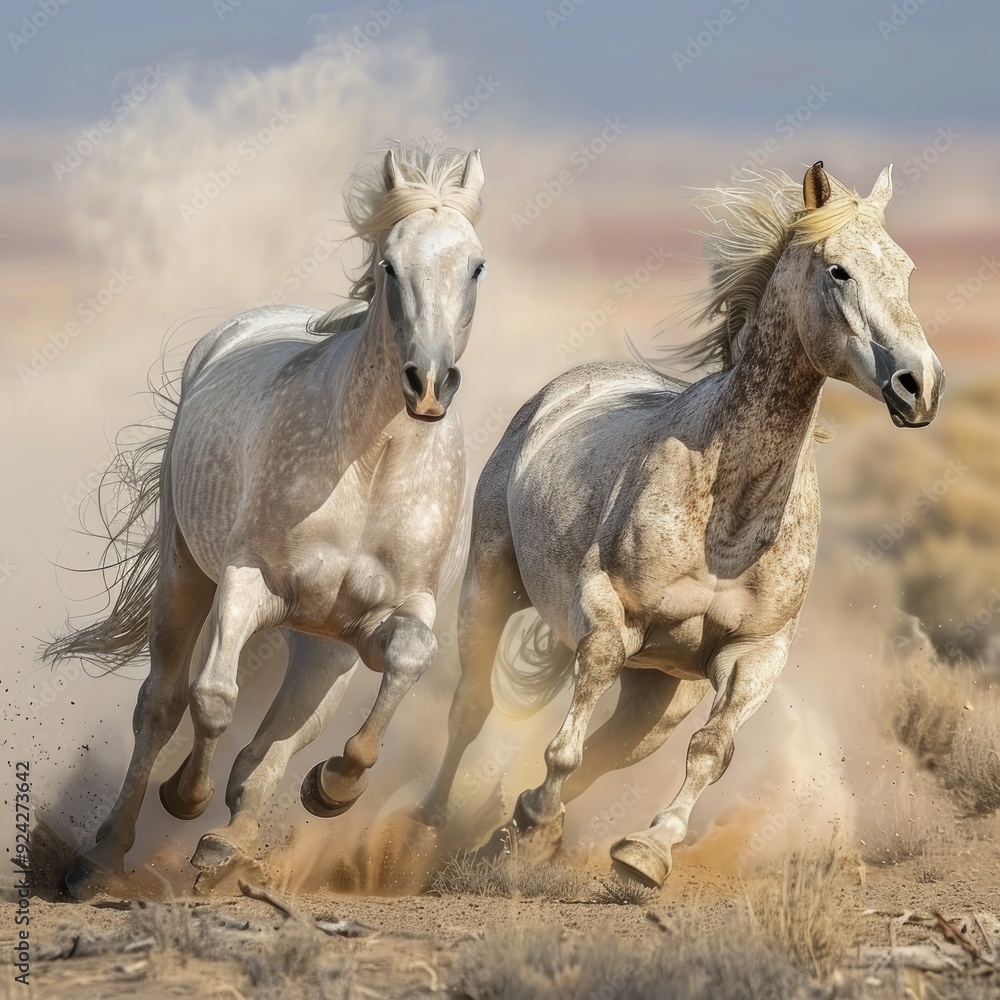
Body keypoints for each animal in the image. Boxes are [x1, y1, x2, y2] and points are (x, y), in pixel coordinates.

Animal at [45, 141, 487, 899]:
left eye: (476, 265)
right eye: (389, 265)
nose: (428, 384)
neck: (372, 463)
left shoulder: (389, 616)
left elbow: (403, 660)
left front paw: (332, 787)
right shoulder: (246, 580)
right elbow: (213, 697)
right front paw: (186, 796)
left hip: (321, 646)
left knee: (282, 733)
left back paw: (233, 841)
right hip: (185, 576)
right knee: (161, 704)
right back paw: (104, 856)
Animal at [414, 161, 944, 887]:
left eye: (908, 268)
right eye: (838, 270)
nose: (921, 385)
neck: (729, 519)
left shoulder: (755, 656)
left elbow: (710, 752)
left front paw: (646, 851)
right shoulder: (609, 617)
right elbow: (564, 743)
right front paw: (542, 815)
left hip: (661, 694)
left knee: (610, 751)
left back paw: (511, 836)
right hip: (490, 586)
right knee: (471, 705)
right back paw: (421, 818)